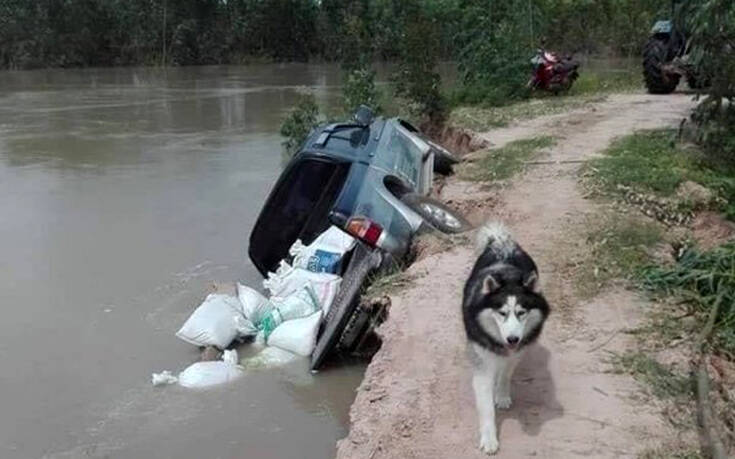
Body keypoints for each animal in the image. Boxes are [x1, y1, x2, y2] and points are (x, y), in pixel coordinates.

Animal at [462, 224, 548, 456]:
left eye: (521, 313)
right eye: (501, 313)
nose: (512, 338)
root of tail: (502, 241)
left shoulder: (517, 352)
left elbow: (506, 374)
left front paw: (501, 394)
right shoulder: (482, 361)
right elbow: (485, 406)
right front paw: (489, 438)